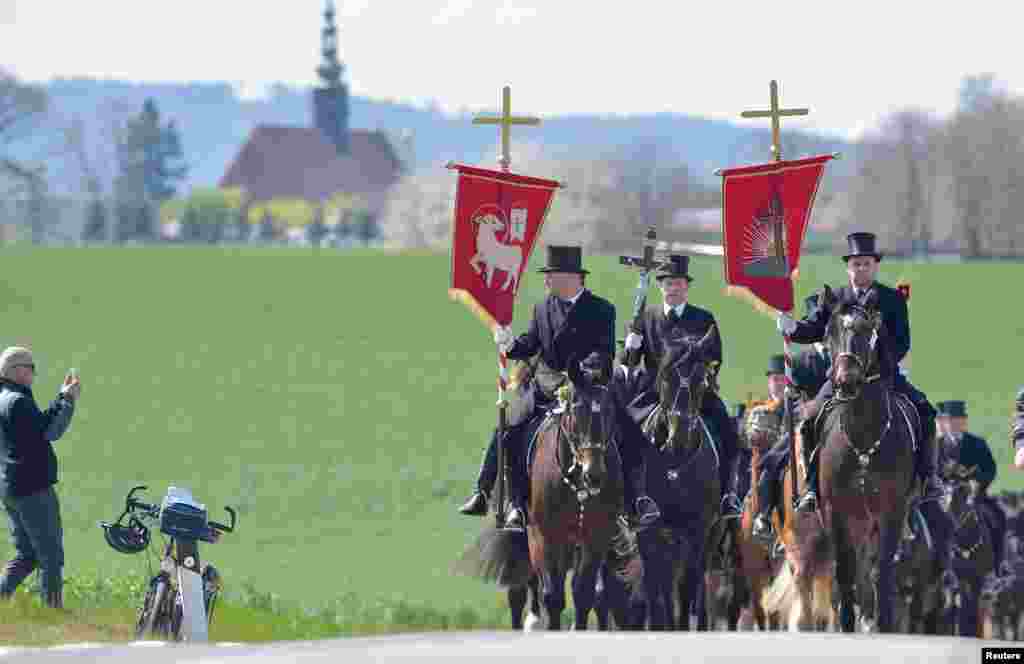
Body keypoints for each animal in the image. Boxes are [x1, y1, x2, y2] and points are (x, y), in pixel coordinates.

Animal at [528, 350, 622, 631]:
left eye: (609, 410)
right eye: (576, 410)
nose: (595, 474)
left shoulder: (596, 537)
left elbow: (583, 594)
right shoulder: (545, 536)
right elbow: (552, 596)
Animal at [630, 329, 720, 631]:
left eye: (702, 380)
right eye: (665, 376)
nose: (679, 436)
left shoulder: (697, 530)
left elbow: (688, 585)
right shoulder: (650, 530)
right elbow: (658, 585)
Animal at [811, 284, 917, 631]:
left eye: (867, 330)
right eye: (828, 332)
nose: (846, 381)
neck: (864, 437)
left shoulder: (891, 510)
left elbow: (881, 570)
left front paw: (882, 621)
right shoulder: (836, 511)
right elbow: (845, 572)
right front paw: (847, 623)